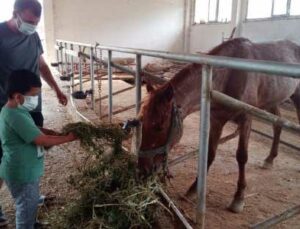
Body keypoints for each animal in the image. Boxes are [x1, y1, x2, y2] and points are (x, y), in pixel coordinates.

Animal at [135, 38, 300, 213]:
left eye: (159, 127)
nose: (143, 169)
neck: (228, 76)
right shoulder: (216, 120)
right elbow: (210, 154)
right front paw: (193, 190)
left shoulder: (246, 120)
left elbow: (242, 156)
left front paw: (238, 198)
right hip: (272, 101)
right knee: (278, 125)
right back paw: (269, 159)